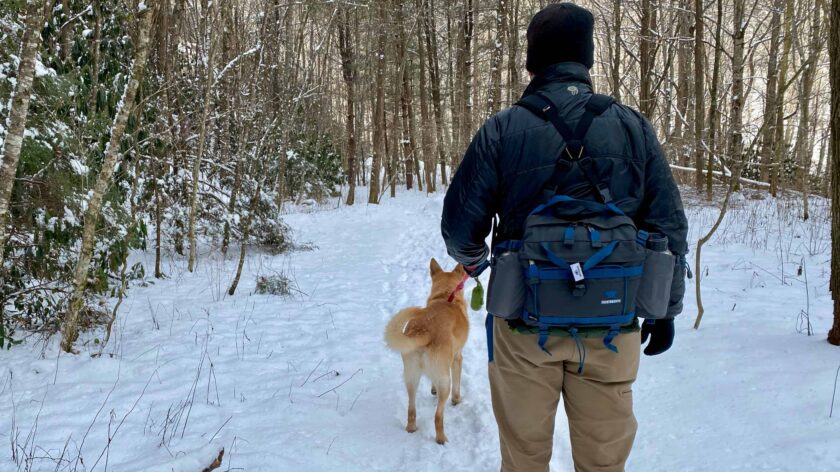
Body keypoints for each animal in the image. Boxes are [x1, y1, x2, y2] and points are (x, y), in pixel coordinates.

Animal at [384, 260, 470, 444]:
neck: (446, 296)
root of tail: (425, 331)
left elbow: (432, 382)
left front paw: (432, 390)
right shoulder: (457, 358)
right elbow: (457, 388)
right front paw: (457, 401)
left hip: (411, 377)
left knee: (411, 409)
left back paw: (411, 428)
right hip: (445, 381)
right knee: (438, 416)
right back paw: (441, 439)